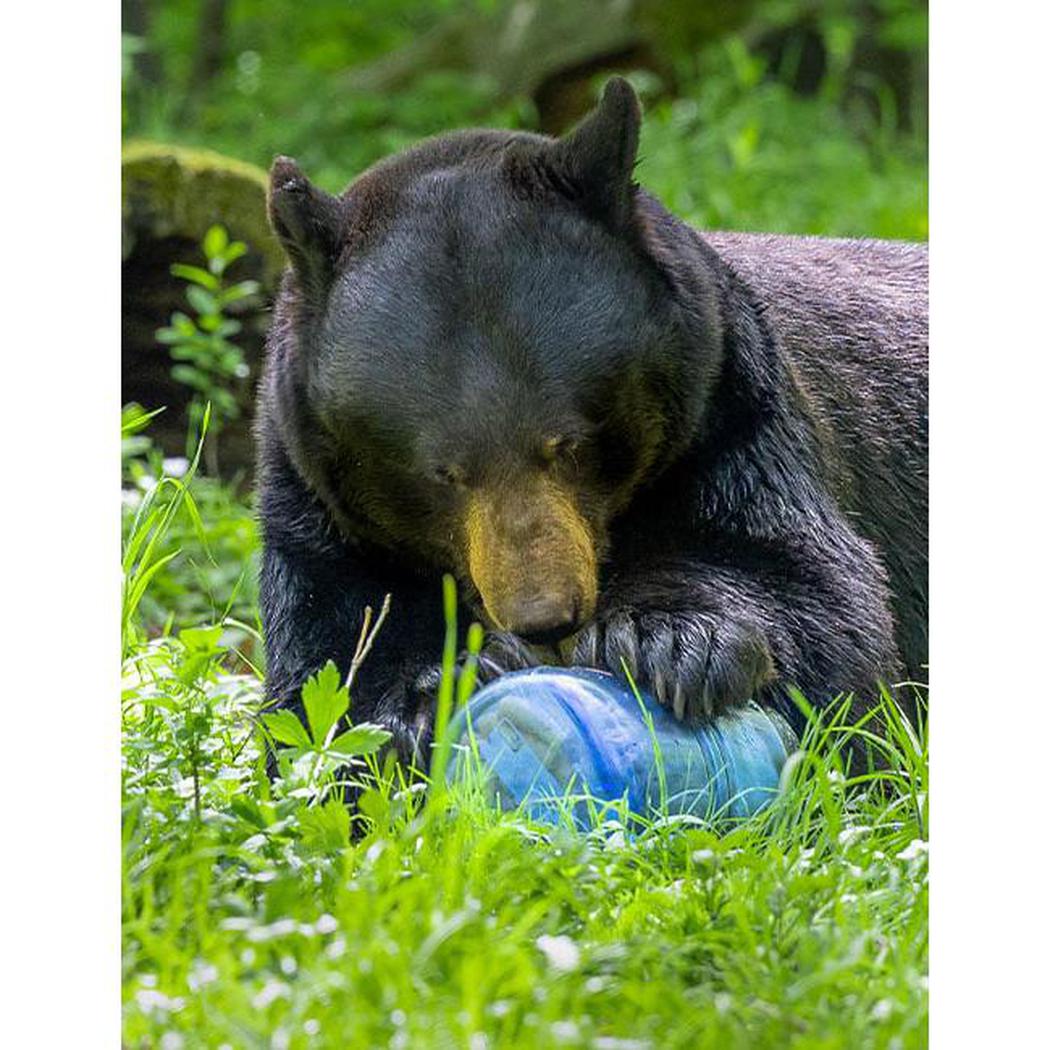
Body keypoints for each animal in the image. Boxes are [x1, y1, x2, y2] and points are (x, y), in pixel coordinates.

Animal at [256, 77, 927, 767]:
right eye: (443, 473)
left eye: (568, 443)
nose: (545, 617)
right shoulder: (315, 501)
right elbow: (325, 655)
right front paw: (427, 697)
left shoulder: (735, 407)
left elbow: (818, 593)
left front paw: (667, 640)